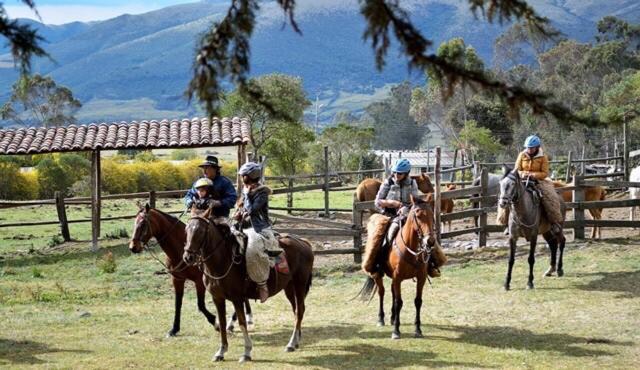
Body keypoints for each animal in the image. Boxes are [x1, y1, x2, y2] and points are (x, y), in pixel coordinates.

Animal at [129, 205, 251, 336]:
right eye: (135, 222)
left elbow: (200, 305)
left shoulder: (199, 281)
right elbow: (178, 304)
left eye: (143, 223)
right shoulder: (177, 279)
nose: (133, 247)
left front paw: (215, 323)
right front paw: (174, 328)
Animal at [181, 207, 314, 362]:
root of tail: (303, 242)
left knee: (299, 311)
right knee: (297, 310)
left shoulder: (237, 298)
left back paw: (291, 343)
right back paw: (296, 340)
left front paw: (247, 352)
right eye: (186, 229)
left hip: (300, 284)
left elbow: (242, 322)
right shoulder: (217, 298)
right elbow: (222, 323)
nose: (188, 257)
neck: (224, 259)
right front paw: (221, 351)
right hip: (289, 287)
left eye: (201, 231)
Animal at [358, 197, 442, 338]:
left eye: (432, 215)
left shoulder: (421, 278)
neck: (410, 249)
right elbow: (399, 302)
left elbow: (417, 301)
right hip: (379, 275)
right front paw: (396, 331)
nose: (430, 241)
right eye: (418, 215)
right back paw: (381, 319)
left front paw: (418, 329)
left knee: (392, 292)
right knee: (382, 292)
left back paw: (392, 318)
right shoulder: (398, 277)